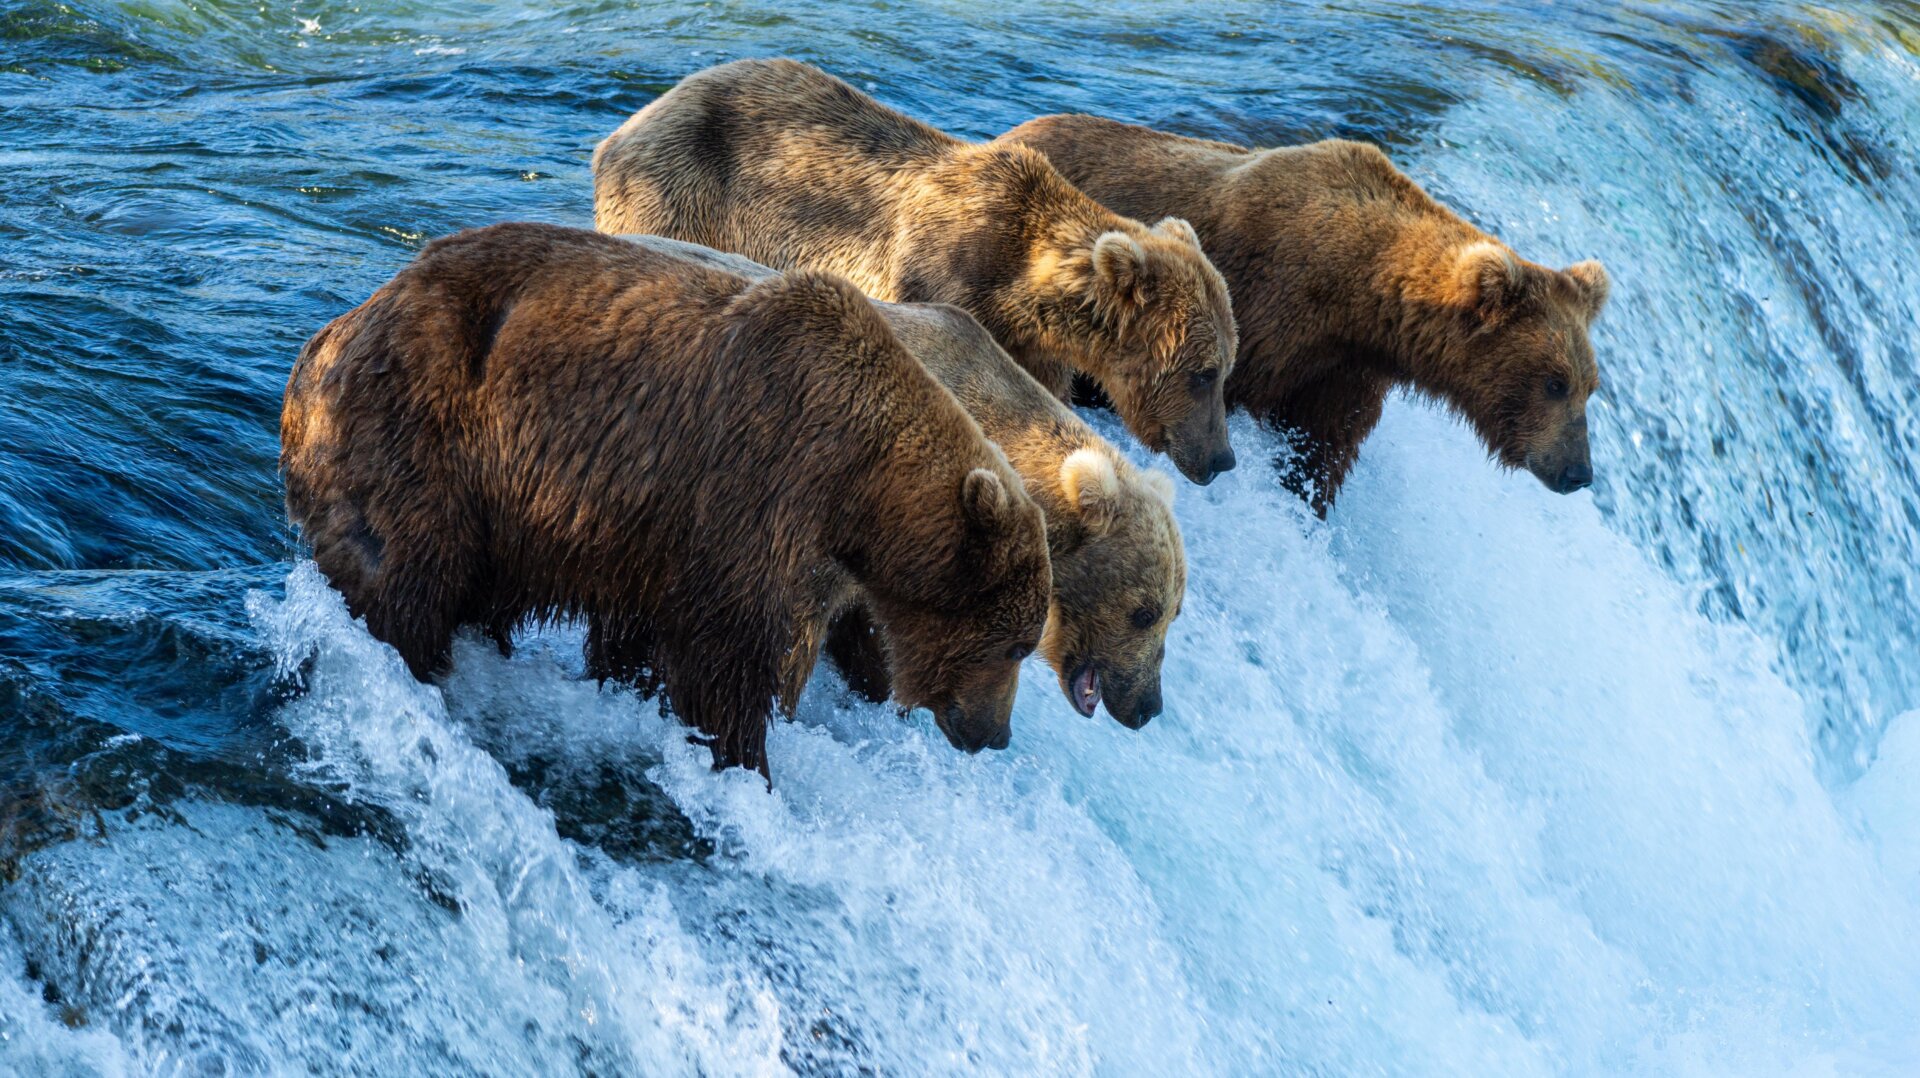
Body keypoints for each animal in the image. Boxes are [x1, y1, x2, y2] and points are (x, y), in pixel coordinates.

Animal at [280, 223, 1052, 779]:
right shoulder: (754, 490)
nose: (997, 734)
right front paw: (745, 762)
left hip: (498, 507)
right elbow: (728, 662)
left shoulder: (653, 533)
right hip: (423, 438)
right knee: (405, 579)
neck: (857, 491)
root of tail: (325, 340)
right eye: (1016, 643)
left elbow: (642, 639)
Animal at [591, 58, 1241, 486]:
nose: (1222, 459)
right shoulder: (936, 275)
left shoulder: (1030, 346)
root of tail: (625, 126)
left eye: (1225, 368)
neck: (1021, 288)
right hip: (681, 193)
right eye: (1204, 373)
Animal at [997, 115, 1612, 514]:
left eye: (1590, 386)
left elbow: (1322, 453)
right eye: (1555, 382)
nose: (1579, 472)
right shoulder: (1268, 310)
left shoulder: (1345, 372)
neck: (1358, 299)